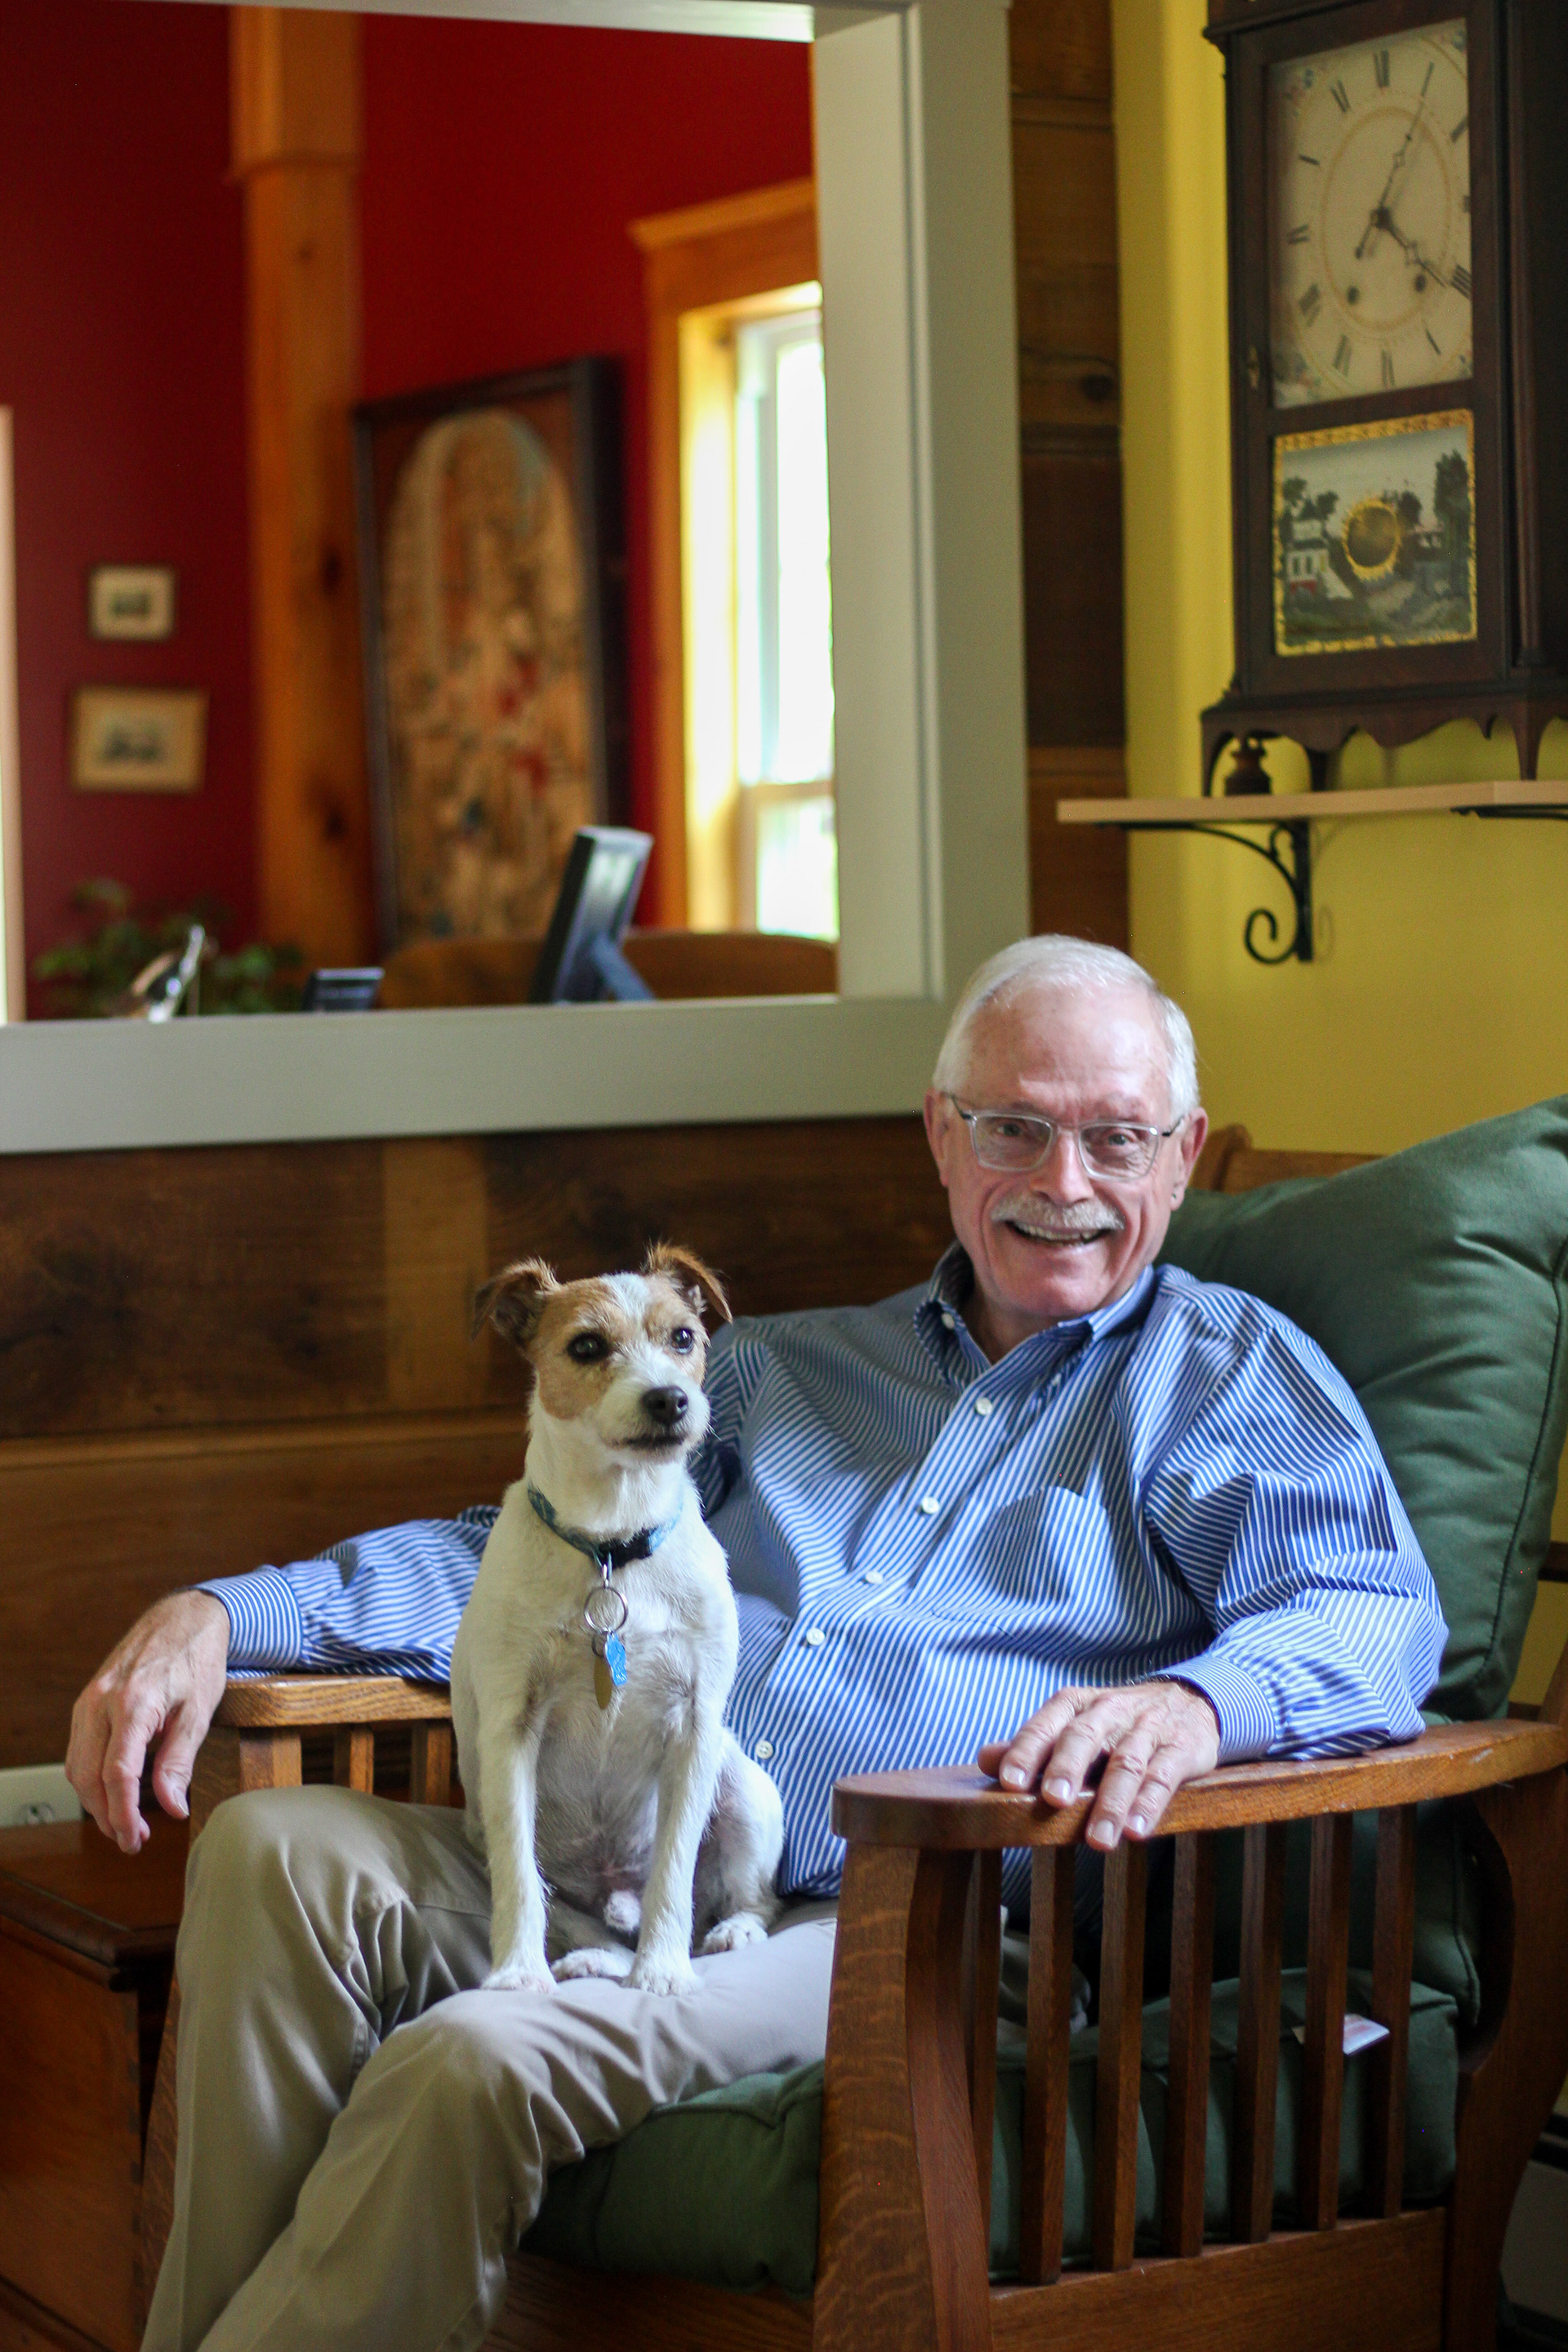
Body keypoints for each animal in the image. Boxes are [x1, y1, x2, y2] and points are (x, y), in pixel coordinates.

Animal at [451, 1241, 780, 1994]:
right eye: (587, 1345)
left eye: (683, 1338)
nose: (670, 1398)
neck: (611, 1545)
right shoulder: (512, 1729)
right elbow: (520, 1881)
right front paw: (517, 1972)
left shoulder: (694, 1727)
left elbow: (674, 1874)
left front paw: (663, 1971)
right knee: (572, 1914)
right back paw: (594, 1957)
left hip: (744, 1788)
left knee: (750, 1898)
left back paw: (727, 1933)